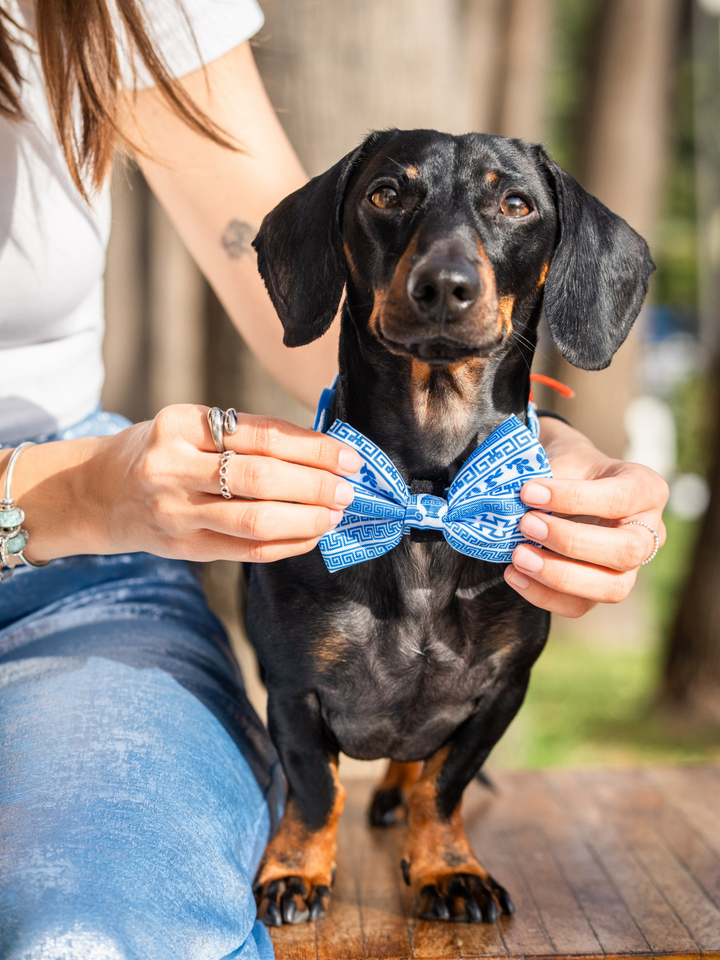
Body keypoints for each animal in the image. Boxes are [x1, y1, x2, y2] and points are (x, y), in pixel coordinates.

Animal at [246, 131, 652, 928]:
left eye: (516, 204)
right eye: (385, 194)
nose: (443, 286)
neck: (429, 499)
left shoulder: (500, 692)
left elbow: (444, 787)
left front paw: (448, 869)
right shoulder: (293, 689)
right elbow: (315, 790)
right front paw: (295, 871)